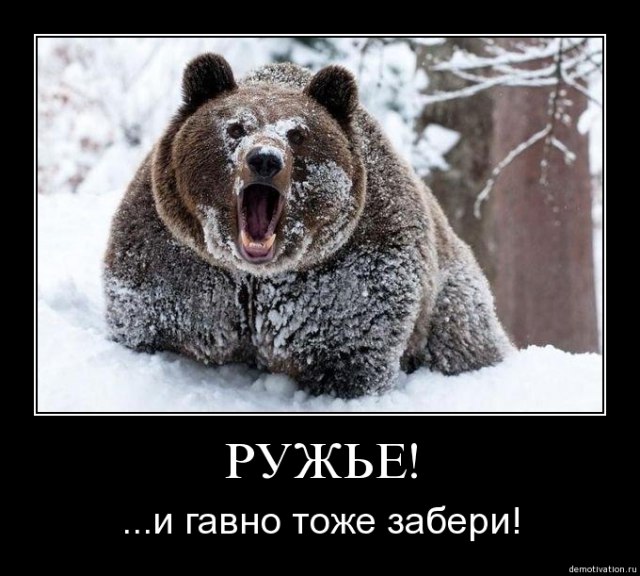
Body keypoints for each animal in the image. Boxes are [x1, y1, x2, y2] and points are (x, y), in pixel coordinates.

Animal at [104, 53, 511, 399]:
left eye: (297, 134)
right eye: (236, 128)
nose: (264, 159)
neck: (256, 276)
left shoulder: (348, 272)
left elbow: (351, 348)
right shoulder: (178, 259)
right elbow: (152, 319)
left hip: (451, 300)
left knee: (463, 340)